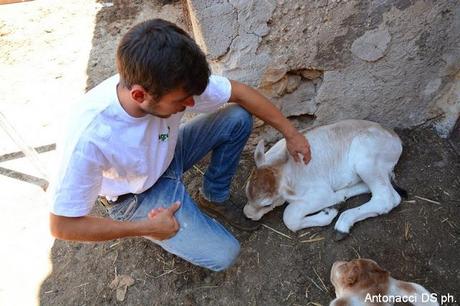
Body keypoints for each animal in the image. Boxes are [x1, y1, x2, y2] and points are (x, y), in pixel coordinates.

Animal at [244, 119, 402, 237]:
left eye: (267, 204)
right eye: (246, 192)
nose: (248, 215)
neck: (282, 166)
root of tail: (395, 137)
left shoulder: (320, 192)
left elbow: (289, 217)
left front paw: (330, 210)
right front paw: (333, 205)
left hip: (365, 161)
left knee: (385, 199)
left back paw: (343, 223)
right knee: (392, 195)